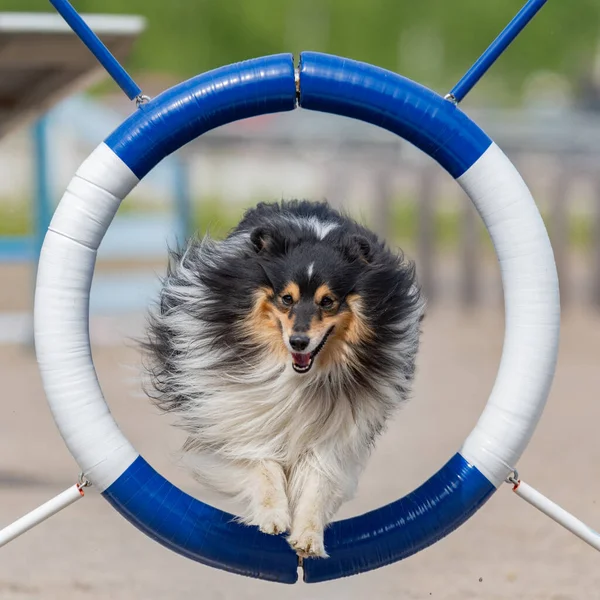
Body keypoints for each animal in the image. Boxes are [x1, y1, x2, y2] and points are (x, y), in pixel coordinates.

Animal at [144, 200, 426, 556]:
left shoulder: (333, 433)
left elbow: (318, 482)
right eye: (286, 298)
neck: (297, 377)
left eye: (328, 301)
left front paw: (308, 536)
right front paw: (273, 516)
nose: (299, 342)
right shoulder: (240, 413)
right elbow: (261, 466)